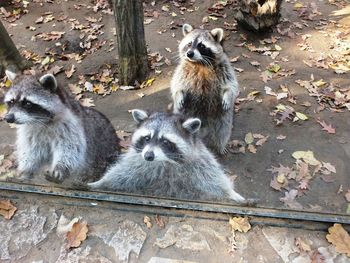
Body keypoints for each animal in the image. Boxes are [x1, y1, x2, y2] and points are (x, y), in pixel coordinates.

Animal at [89, 110, 245, 203]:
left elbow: (213, 181)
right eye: (147, 138)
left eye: (165, 141)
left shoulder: (200, 163)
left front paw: (231, 194)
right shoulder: (137, 161)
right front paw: (99, 182)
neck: (164, 161)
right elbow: (122, 174)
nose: (148, 156)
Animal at [171, 24, 239, 155]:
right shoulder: (182, 70)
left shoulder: (225, 68)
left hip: (222, 117)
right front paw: (178, 94)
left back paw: (220, 147)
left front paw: (228, 95)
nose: (189, 54)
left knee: (222, 131)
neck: (200, 64)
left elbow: (231, 85)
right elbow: (176, 84)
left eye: (201, 45)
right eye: (189, 43)